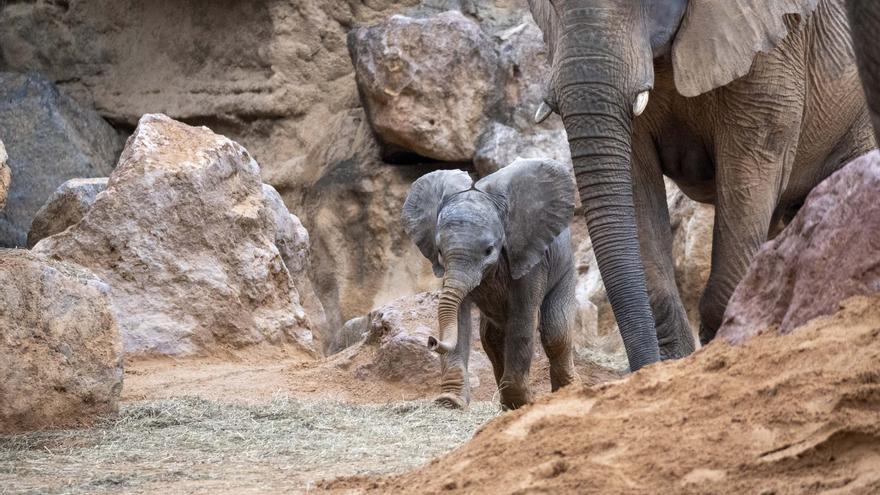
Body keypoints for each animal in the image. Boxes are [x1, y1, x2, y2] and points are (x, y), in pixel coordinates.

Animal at [404, 159, 580, 410]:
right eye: (439, 251)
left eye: (489, 250)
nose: (431, 340)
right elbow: (459, 316)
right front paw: (449, 401)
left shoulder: (530, 258)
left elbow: (523, 320)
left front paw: (523, 403)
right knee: (491, 338)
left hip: (565, 269)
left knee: (556, 332)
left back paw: (566, 393)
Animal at [524, 0, 876, 370]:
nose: (643, 365)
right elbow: (636, 187)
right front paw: (670, 363)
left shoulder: (775, 51)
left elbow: (748, 173)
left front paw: (723, 350)